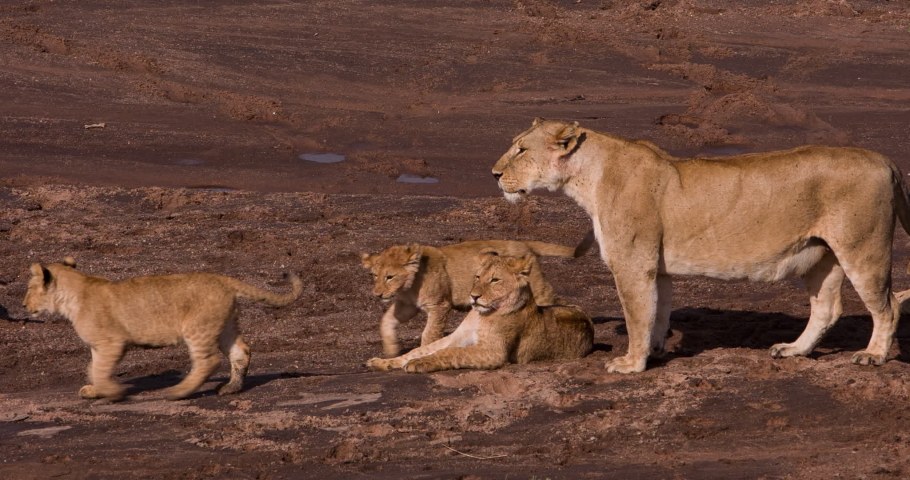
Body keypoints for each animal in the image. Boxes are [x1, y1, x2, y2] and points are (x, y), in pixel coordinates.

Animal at [23, 257, 302, 401]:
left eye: (28, 288)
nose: (24, 304)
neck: (73, 294)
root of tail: (223, 279)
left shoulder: (112, 342)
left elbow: (100, 369)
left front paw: (112, 392)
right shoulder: (99, 346)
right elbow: (93, 367)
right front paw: (94, 390)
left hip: (197, 328)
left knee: (208, 361)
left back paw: (178, 392)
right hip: (224, 326)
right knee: (241, 352)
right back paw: (231, 388)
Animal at [361, 232, 594, 357]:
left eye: (390, 276)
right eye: (374, 275)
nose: (377, 294)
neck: (410, 286)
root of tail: (523, 243)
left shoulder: (439, 305)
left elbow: (430, 333)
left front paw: (424, 350)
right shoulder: (407, 306)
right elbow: (386, 320)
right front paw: (391, 349)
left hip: (538, 288)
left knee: (556, 301)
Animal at [492, 118, 910, 373]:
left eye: (521, 150)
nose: (494, 174)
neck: (587, 177)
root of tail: (885, 160)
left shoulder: (632, 265)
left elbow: (636, 316)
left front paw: (630, 364)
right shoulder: (655, 268)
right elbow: (657, 313)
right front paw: (655, 352)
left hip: (863, 249)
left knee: (887, 306)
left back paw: (873, 355)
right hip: (821, 255)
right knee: (827, 308)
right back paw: (794, 349)